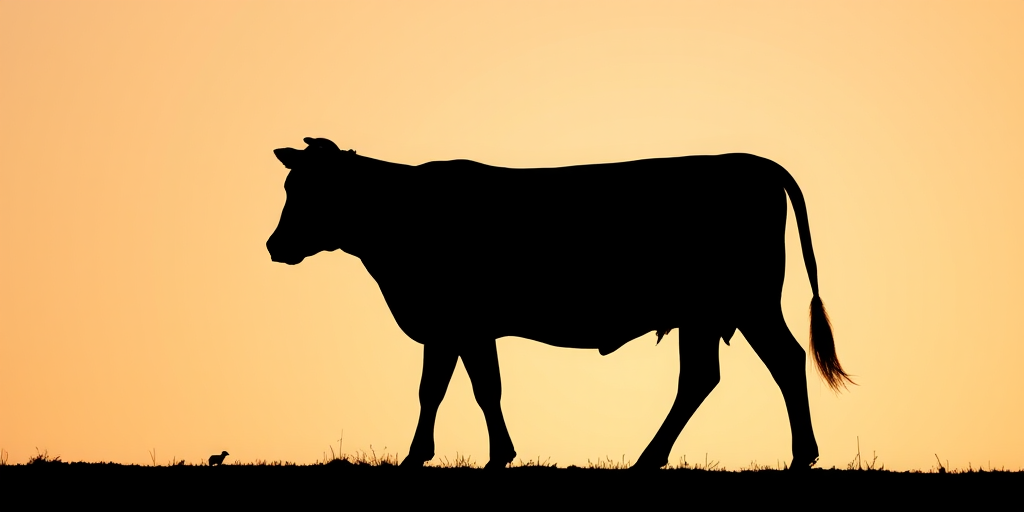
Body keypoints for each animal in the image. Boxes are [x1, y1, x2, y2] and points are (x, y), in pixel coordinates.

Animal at [265, 137, 852, 470]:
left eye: (314, 190)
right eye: (291, 186)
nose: (275, 246)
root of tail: (751, 162)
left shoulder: (459, 323)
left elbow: (461, 389)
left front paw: (451, 457)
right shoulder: (457, 327)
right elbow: (457, 389)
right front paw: (457, 455)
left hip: (748, 302)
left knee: (782, 360)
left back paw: (799, 457)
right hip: (705, 315)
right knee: (704, 377)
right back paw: (652, 459)